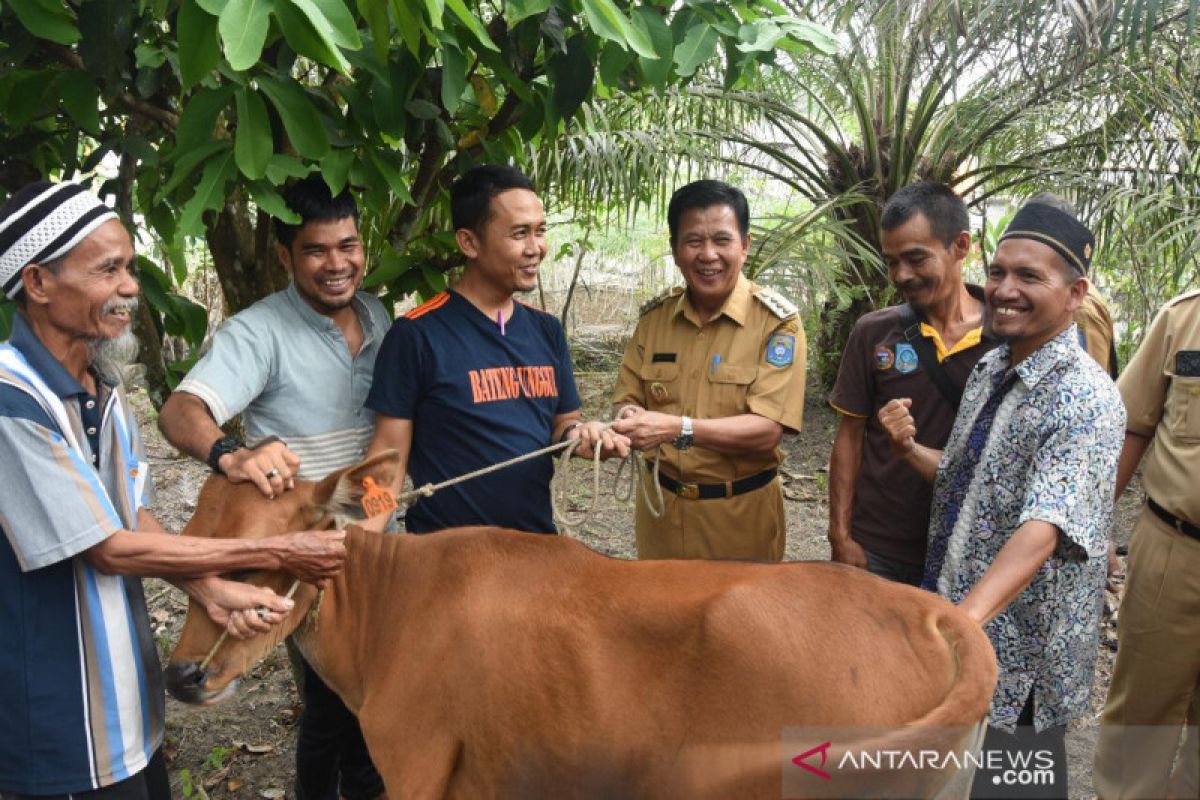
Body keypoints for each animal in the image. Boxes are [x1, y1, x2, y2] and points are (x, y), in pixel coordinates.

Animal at [166, 453, 993, 796]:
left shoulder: (417, 770)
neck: (388, 610)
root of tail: (925, 608)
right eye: (188, 554)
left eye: (259, 562)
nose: (181, 674)